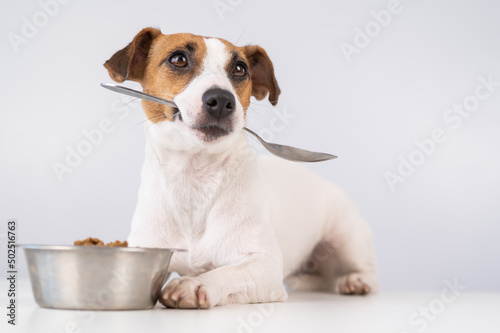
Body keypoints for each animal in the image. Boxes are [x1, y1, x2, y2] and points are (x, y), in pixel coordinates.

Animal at [103, 27, 376, 308]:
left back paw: (356, 281)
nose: (221, 99)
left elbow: (223, 273)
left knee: (368, 271)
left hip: (347, 239)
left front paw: (194, 284)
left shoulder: (264, 266)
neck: (193, 178)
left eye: (239, 69)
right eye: (178, 59)